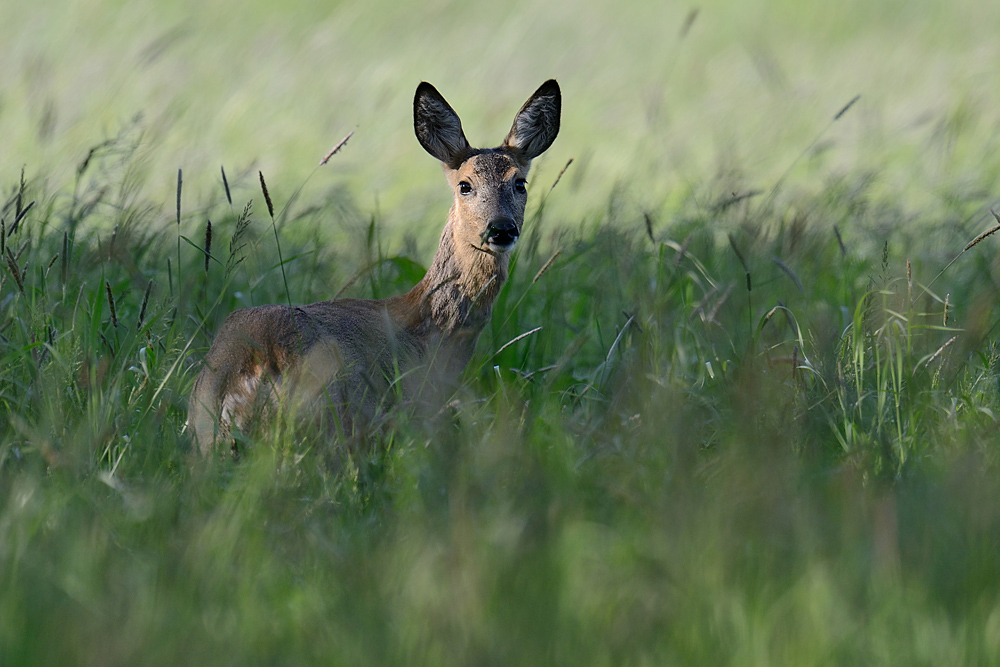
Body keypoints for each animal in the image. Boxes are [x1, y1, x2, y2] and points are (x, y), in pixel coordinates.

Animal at [188, 78, 564, 454]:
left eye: (520, 183)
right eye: (465, 185)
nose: (501, 228)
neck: (431, 333)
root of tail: (249, 365)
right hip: (329, 422)